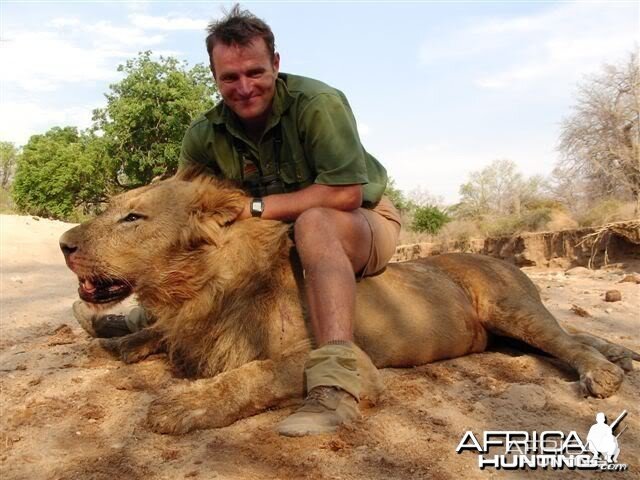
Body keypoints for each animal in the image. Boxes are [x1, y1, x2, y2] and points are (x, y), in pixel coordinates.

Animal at [58, 172, 636, 436]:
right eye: (111, 208)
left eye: (133, 218)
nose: (63, 244)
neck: (201, 287)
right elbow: (153, 335)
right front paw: (122, 343)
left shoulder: (340, 356)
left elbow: (256, 373)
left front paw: (181, 406)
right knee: (571, 334)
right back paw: (619, 354)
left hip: (508, 305)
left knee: (563, 339)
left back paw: (604, 372)